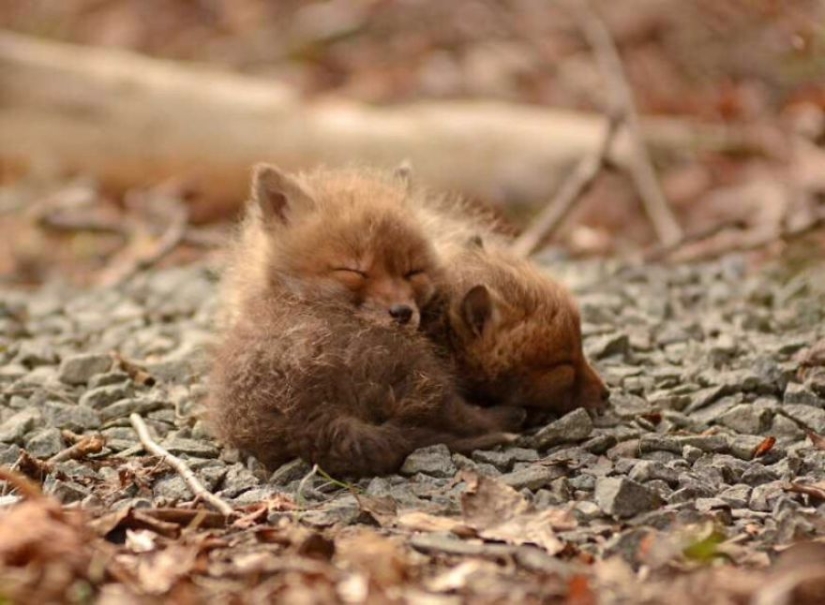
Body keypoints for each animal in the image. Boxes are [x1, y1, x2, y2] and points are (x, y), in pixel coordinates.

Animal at [207, 164, 524, 477]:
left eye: (413, 271)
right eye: (354, 271)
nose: (403, 312)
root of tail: (313, 416)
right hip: (417, 368)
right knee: (460, 416)